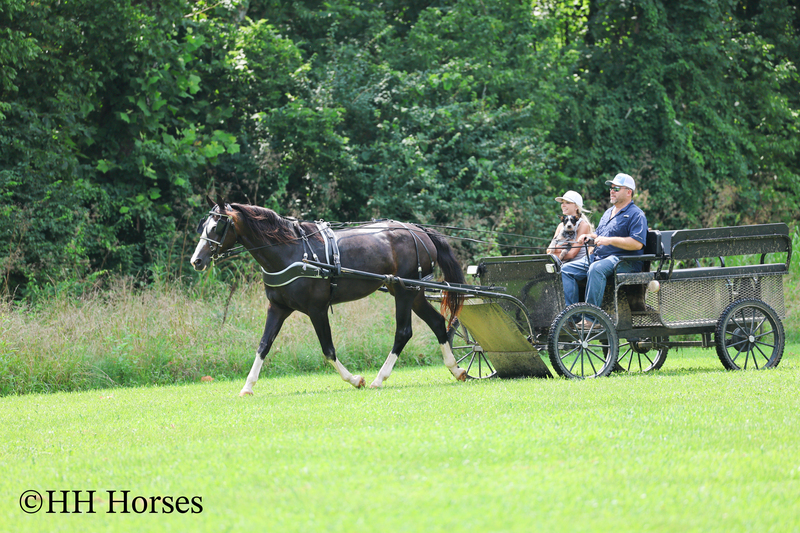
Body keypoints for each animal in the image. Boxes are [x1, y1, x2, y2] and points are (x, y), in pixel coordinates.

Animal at [190, 198, 467, 396]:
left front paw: (355, 379)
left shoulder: (317, 309)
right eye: (204, 226)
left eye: (217, 226)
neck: (292, 251)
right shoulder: (277, 308)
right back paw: (456, 370)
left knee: (403, 332)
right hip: (415, 292)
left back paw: (379, 379)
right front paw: (247, 387)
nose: (196, 261)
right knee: (437, 323)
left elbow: (328, 349)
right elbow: (263, 345)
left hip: (403, 291)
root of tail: (418, 230)